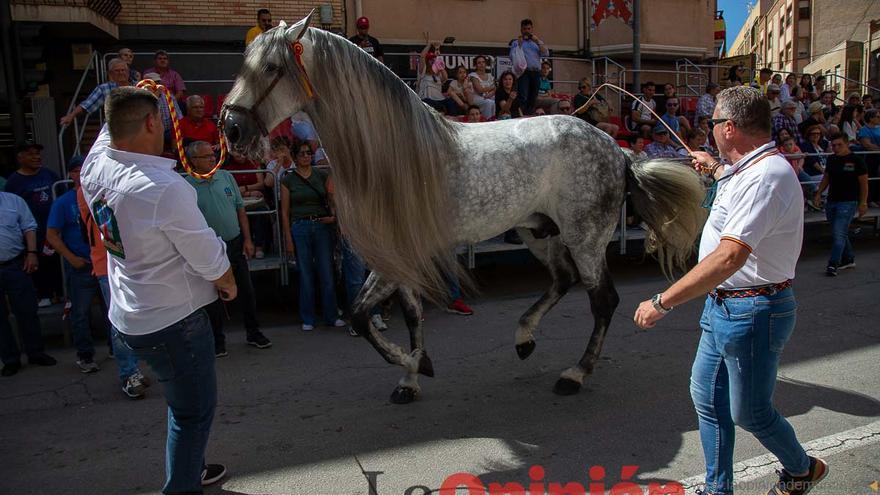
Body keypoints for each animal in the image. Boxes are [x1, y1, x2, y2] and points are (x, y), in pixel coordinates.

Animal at [222, 13, 708, 404]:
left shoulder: (398, 255)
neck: (393, 158)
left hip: (585, 237)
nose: (231, 128)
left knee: (602, 299)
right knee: (562, 280)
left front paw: (417, 365)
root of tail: (616, 149)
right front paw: (410, 378)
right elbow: (404, 314)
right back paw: (524, 339)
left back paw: (574, 374)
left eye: (271, 68)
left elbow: (361, 316)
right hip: (538, 231)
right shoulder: (398, 255)